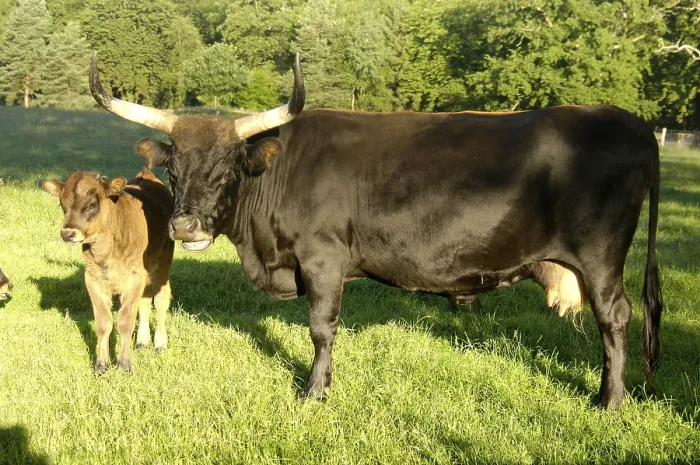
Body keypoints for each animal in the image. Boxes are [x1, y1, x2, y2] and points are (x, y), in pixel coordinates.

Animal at [43, 169, 174, 374]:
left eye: (92, 205)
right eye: (62, 204)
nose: (67, 234)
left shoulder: (135, 277)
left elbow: (125, 320)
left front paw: (124, 364)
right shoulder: (93, 279)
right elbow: (104, 322)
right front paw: (101, 364)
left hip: (164, 260)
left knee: (160, 298)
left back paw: (160, 343)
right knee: (145, 299)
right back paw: (142, 342)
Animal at [89, 51, 661, 409]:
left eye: (228, 168)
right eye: (173, 169)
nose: (184, 224)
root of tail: (631, 122)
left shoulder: (322, 261)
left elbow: (321, 328)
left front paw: (314, 392)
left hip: (601, 258)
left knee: (616, 319)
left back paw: (609, 400)